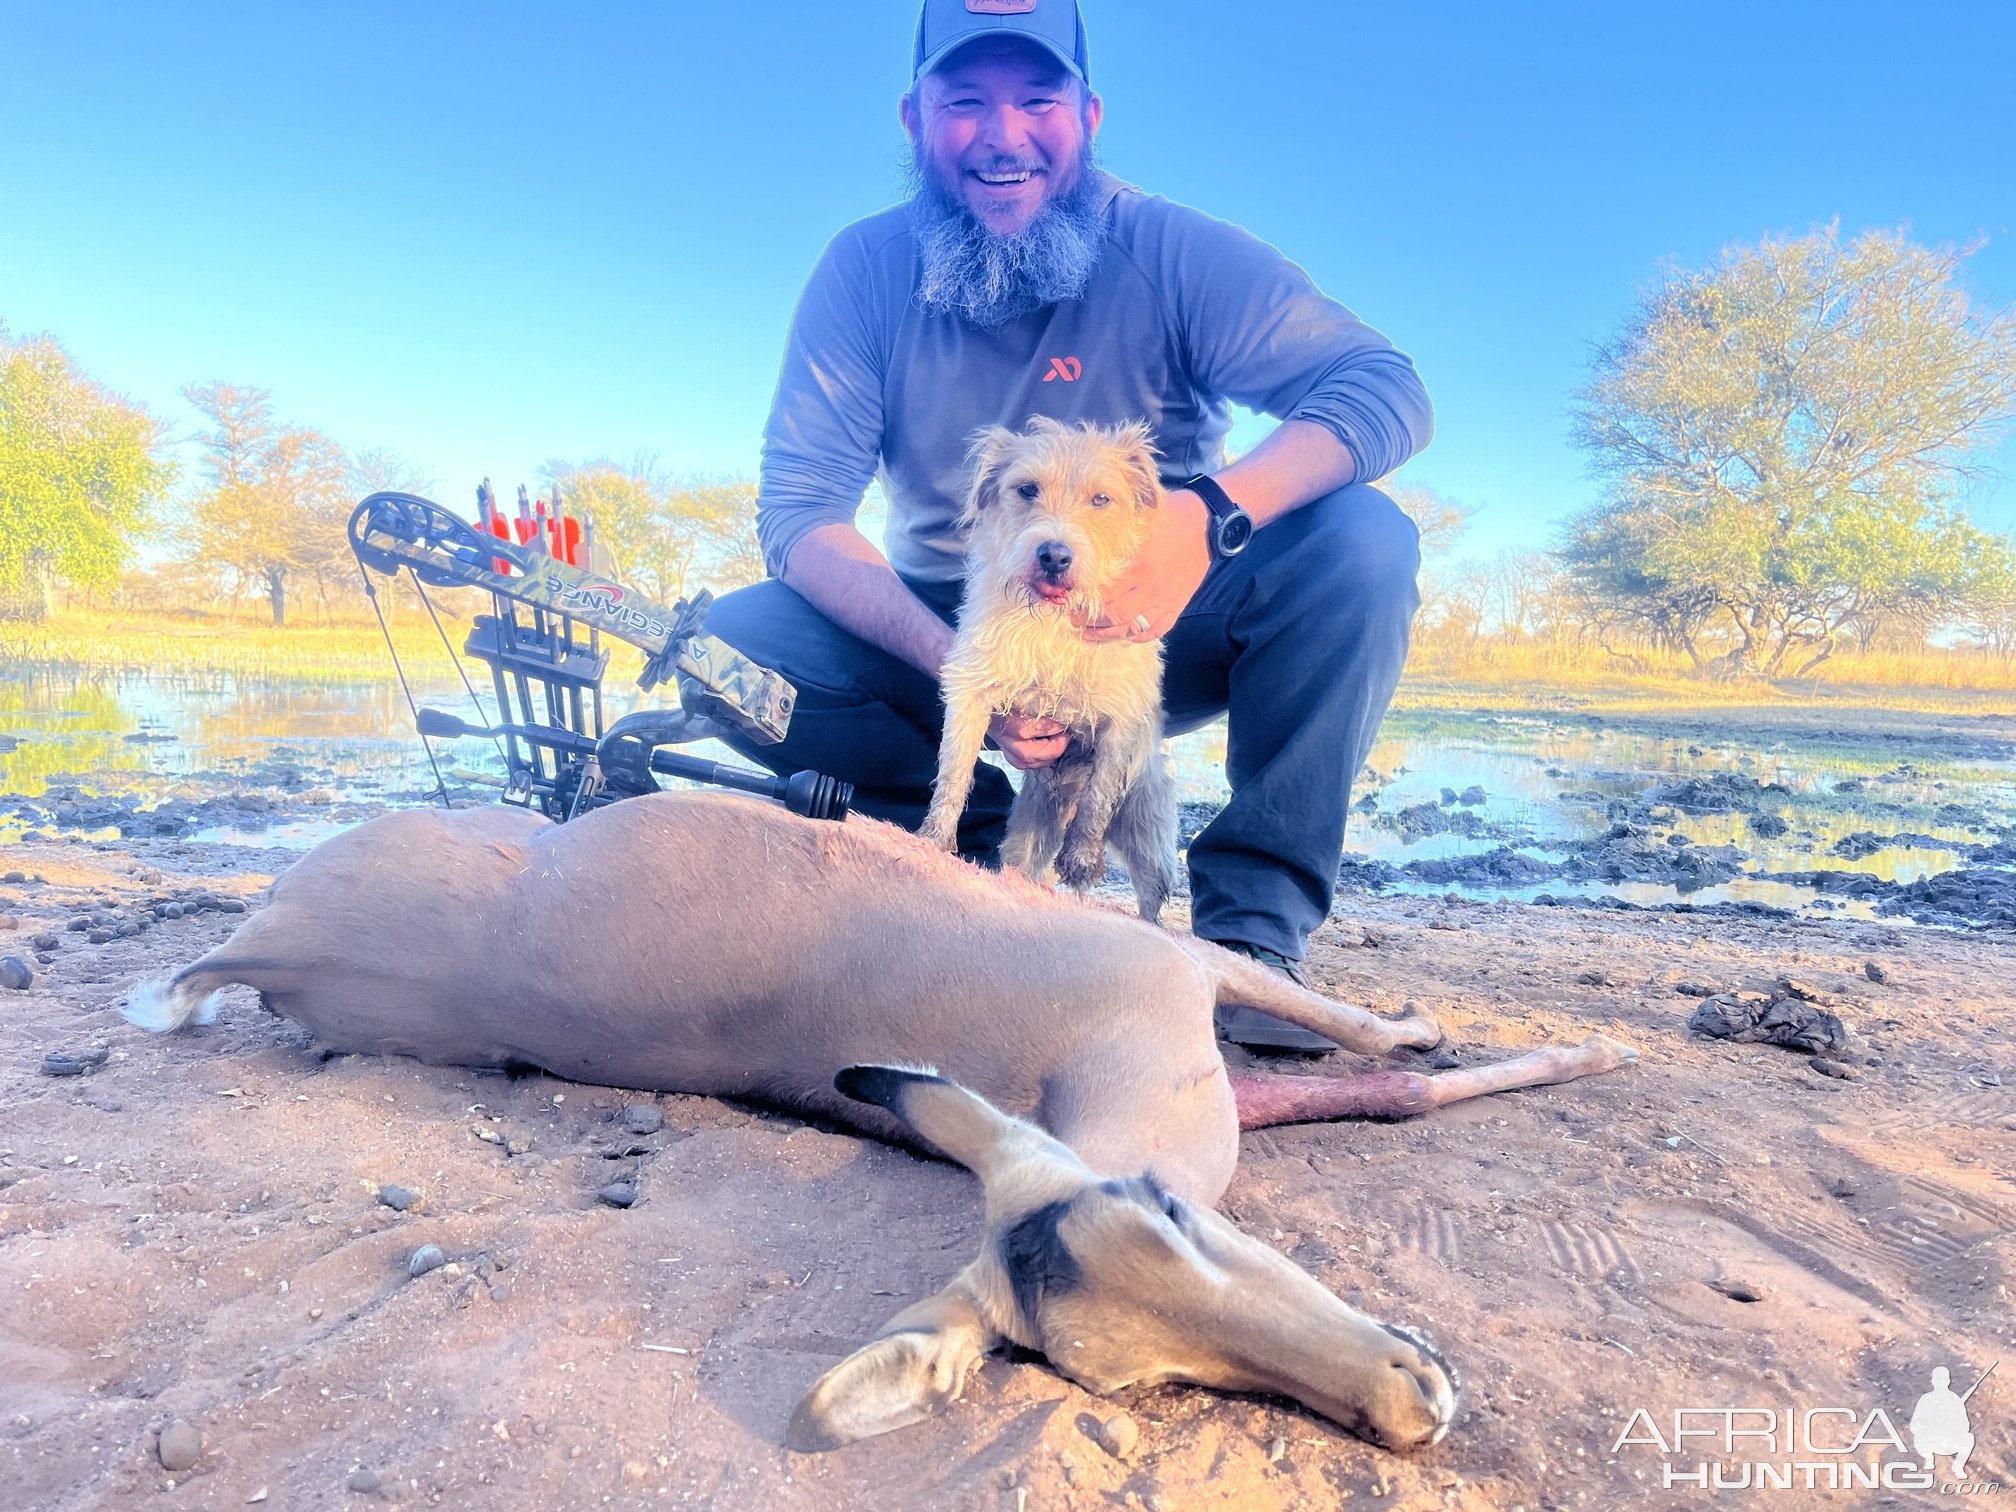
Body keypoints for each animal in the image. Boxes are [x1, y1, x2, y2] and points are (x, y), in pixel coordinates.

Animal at [130, 794, 1636, 1459]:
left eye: (1172, 1211)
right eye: (1143, 1381)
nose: (1416, 1404)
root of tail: (275, 944)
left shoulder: (1203, 989)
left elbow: (1382, 1065)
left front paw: (1525, 1038)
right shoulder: (1187, 983)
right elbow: (1389, 1064)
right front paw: (1581, 1042)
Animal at [919, 415, 1177, 923]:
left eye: (1101, 499)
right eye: (1027, 489)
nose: (1055, 555)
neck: (1053, 620)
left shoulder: (1120, 716)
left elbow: (1098, 794)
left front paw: (1081, 859)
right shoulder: (971, 688)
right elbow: (953, 771)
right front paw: (932, 839)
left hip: (1145, 827)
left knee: (1150, 893)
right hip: (1029, 833)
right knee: (1025, 867)